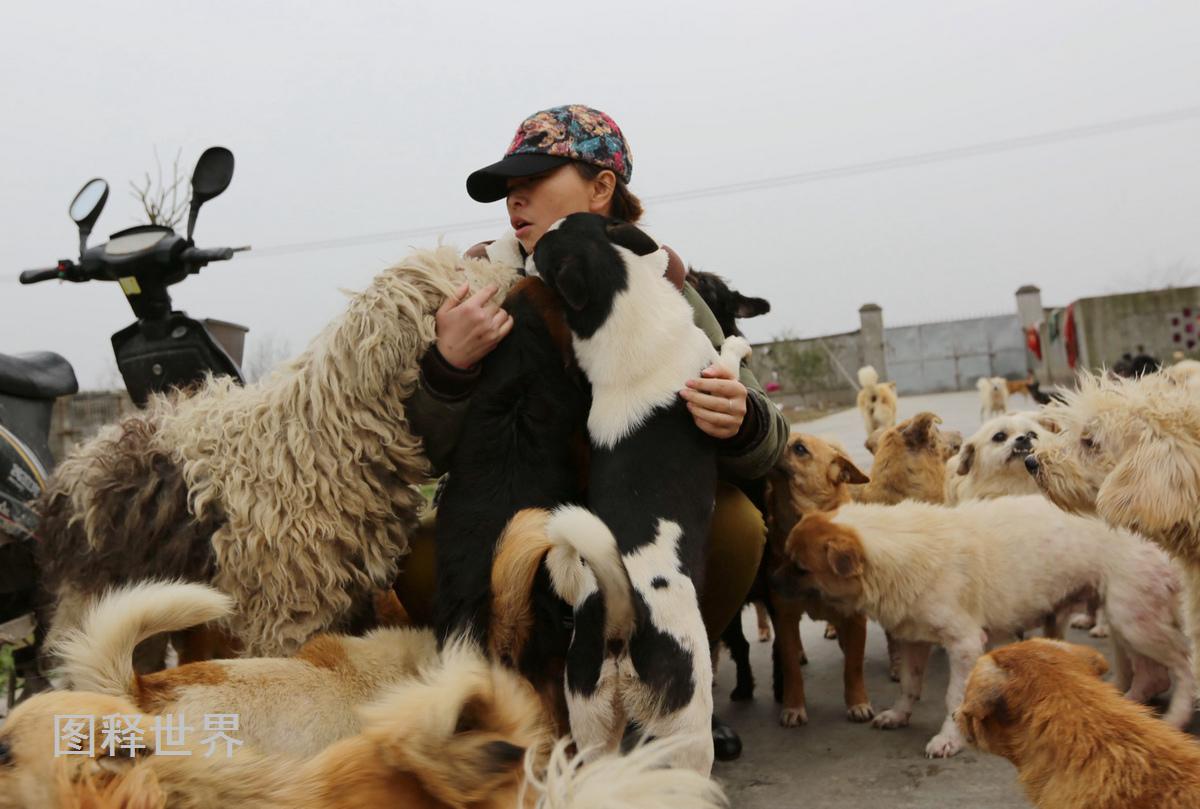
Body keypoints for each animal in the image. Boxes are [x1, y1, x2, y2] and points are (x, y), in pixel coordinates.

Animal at [787, 492, 1190, 758]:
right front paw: (900, 715)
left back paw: (1175, 718)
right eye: (789, 561)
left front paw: (949, 739)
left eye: (800, 568)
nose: (773, 587)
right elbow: (910, 685)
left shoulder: (965, 644)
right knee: (1153, 675)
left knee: (1184, 668)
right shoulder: (914, 640)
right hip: (1127, 618)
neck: (900, 548)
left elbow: (953, 698)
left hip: (1131, 618)